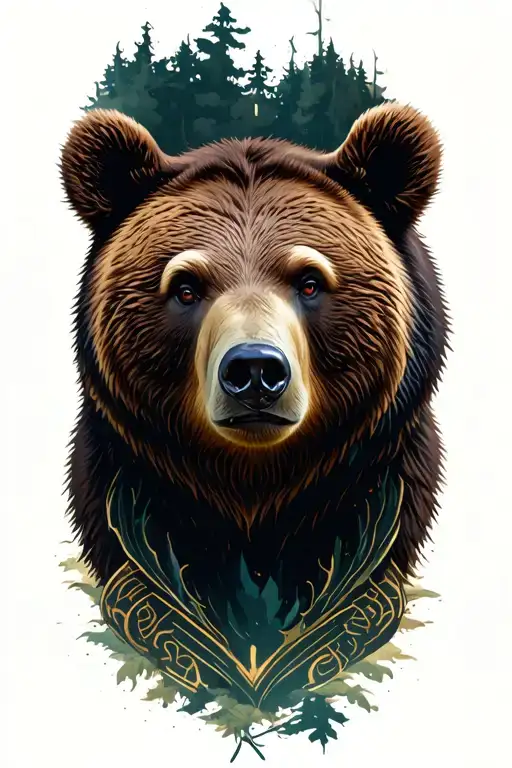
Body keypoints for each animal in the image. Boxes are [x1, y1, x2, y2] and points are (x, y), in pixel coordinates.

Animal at [60, 101, 448, 709]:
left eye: (310, 279)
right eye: (186, 285)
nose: (255, 371)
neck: (255, 486)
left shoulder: (378, 483)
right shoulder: (129, 483)